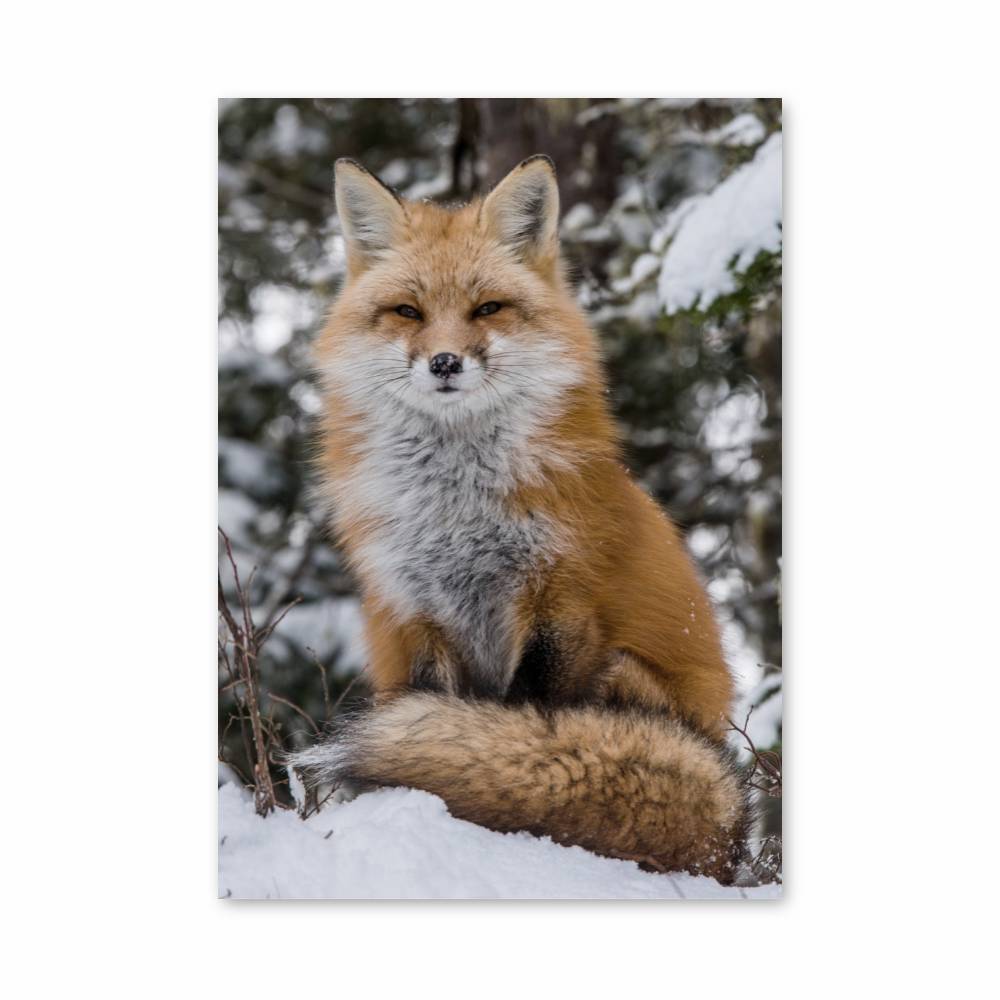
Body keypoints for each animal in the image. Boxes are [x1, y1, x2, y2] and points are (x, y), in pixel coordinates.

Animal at [289, 154, 752, 882]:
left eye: (487, 308)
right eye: (408, 312)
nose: (445, 362)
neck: (457, 510)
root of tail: (730, 836)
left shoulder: (561, 601)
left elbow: (526, 721)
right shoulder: (417, 614)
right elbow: (446, 708)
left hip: (622, 668)